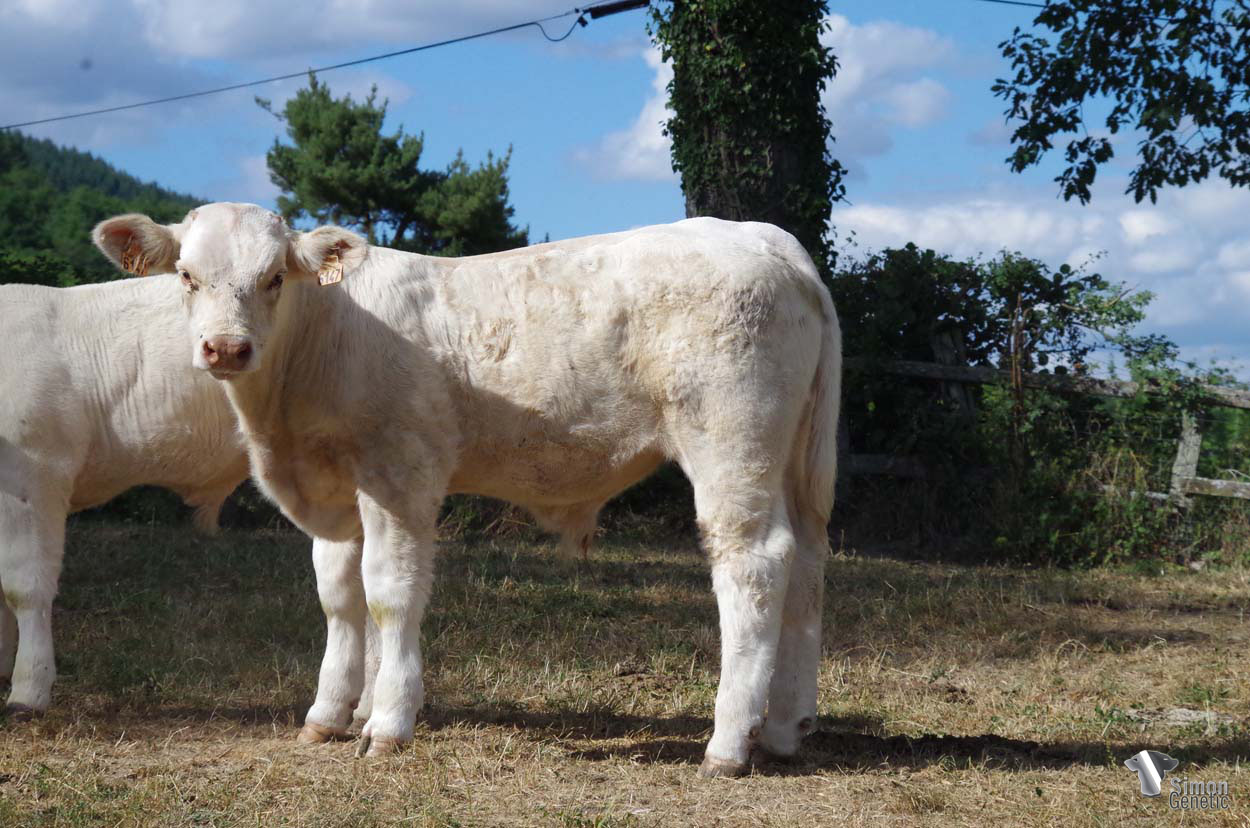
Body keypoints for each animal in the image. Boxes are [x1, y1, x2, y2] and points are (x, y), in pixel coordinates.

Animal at [92, 203, 841, 777]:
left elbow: (388, 594)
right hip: (796, 465)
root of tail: (761, 236)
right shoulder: (339, 492)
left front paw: (388, 722)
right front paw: (335, 713)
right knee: (807, 565)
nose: (226, 348)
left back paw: (728, 744)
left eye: (274, 278)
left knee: (755, 565)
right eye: (187, 277)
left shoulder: (401, 472)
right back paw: (785, 728)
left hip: (729, 443)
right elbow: (340, 597)